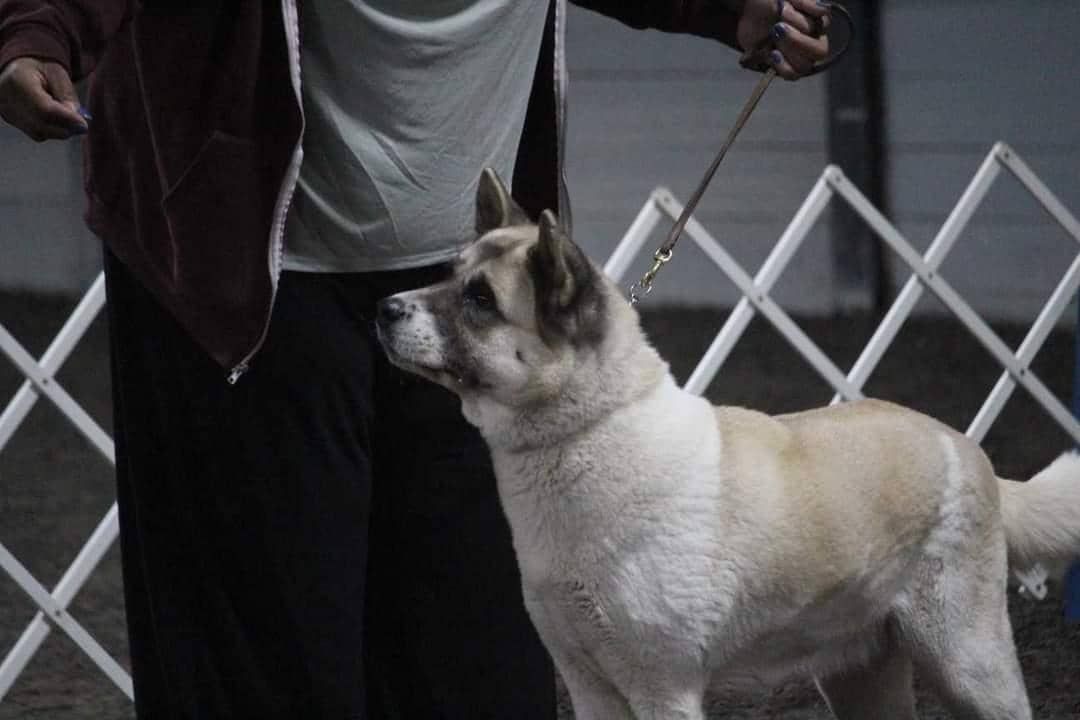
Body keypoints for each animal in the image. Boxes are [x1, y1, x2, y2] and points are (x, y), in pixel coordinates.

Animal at [375, 167, 1080, 716]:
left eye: (480, 300)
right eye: (451, 276)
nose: (383, 309)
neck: (591, 428)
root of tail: (961, 445)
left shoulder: (662, 691)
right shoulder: (590, 688)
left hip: (970, 665)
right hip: (859, 675)